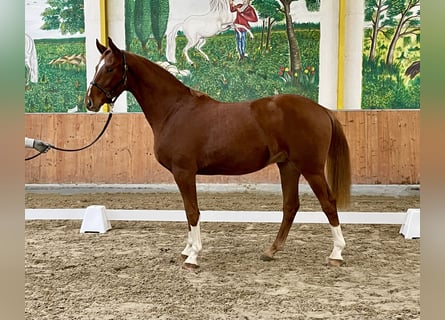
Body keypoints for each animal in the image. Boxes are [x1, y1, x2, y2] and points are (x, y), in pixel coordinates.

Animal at [85, 38, 350, 270]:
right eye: (97, 66)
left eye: (109, 68)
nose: (90, 102)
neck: (174, 110)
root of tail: (322, 110)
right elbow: (187, 211)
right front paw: (187, 250)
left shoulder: (184, 172)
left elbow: (192, 211)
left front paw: (193, 256)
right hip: (288, 166)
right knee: (290, 206)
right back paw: (271, 251)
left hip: (311, 168)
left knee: (328, 203)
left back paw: (336, 254)